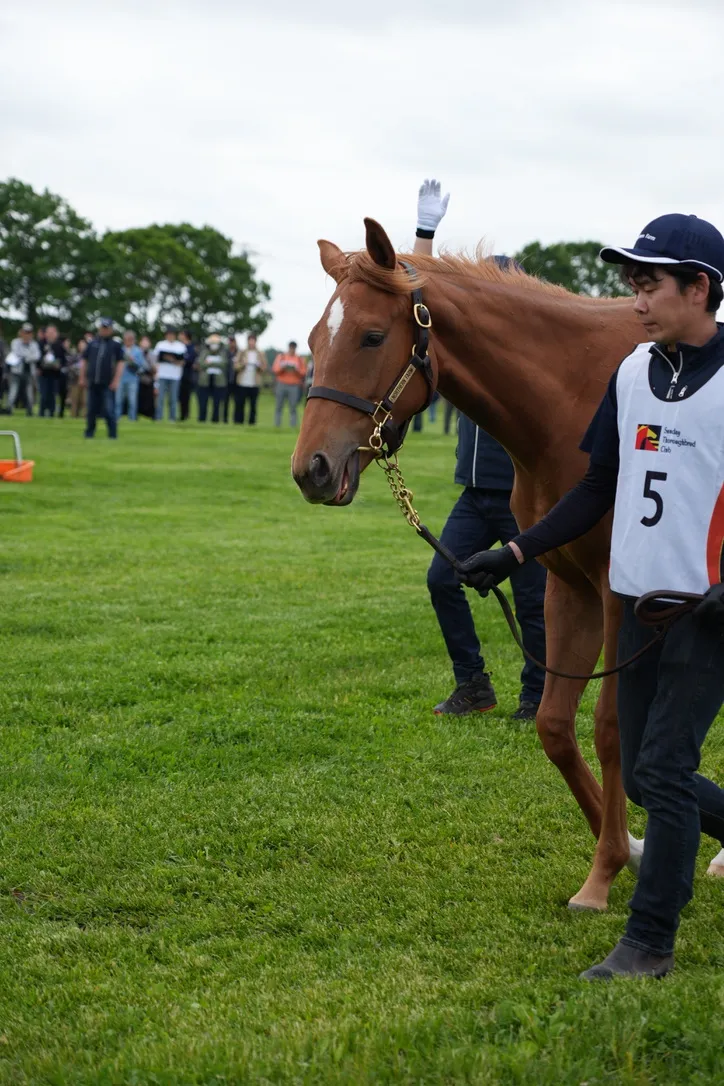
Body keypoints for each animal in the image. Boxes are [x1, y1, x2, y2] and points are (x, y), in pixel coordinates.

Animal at [292, 217, 648, 911]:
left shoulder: (622, 596)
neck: (580, 396)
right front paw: (625, 851)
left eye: (372, 335)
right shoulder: (570, 586)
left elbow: (610, 727)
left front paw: (609, 871)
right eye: (317, 339)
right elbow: (555, 726)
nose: (310, 469)